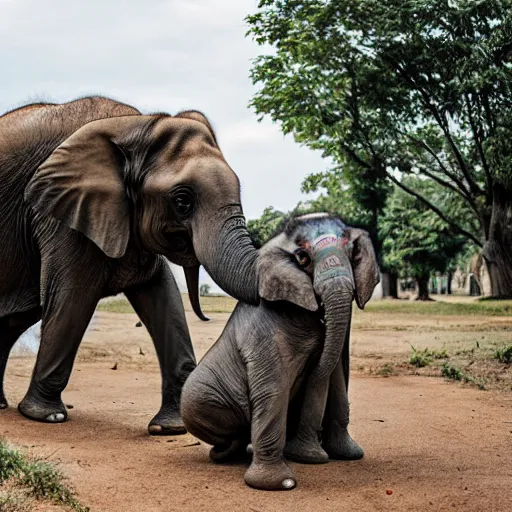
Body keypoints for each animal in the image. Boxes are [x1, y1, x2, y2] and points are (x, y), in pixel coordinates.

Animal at [0, 96, 258, 432]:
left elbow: (163, 295)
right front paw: (46, 416)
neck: (138, 126)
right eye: (182, 201)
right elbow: (72, 298)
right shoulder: (61, 214)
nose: (206, 315)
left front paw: (170, 427)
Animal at [181, 212, 380, 488]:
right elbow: (274, 388)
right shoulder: (266, 331)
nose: (323, 317)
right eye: (303, 259)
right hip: (202, 397)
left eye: (353, 253)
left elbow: (334, 376)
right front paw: (280, 484)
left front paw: (337, 456)